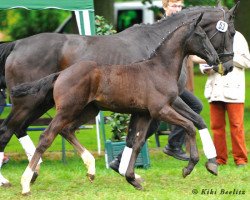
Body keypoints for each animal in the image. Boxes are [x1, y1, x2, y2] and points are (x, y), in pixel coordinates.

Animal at [0, 4, 238, 186]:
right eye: (232, 32)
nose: (225, 66)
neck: (158, 57)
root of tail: (16, 44)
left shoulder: (152, 107)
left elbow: (142, 136)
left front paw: (126, 171)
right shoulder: (163, 105)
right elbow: (186, 123)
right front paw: (208, 163)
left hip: (54, 104)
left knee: (26, 129)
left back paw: (42, 171)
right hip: (32, 103)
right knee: (10, 131)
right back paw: (15, 178)